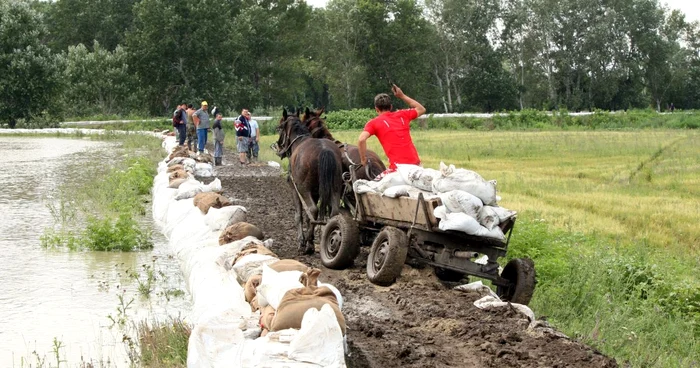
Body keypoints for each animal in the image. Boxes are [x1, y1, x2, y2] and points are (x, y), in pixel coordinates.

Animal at [274, 108, 342, 254]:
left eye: (280, 127)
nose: (279, 147)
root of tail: (324, 150)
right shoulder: (315, 193)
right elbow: (308, 218)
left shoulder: (295, 190)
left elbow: (299, 215)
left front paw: (301, 241)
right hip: (335, 188)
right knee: (333, 212)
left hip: (303, 189)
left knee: (313, 210)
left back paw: (309, 244)